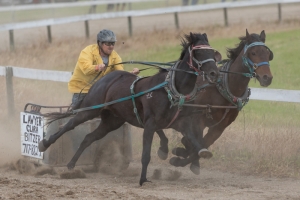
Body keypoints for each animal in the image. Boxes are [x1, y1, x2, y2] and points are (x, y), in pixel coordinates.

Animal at [37, 32, 221, 185]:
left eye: (212, 52)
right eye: (199, 53)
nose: (214, 73)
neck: (169, 88)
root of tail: (106, 78)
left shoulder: (179, 122)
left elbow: (195, 141)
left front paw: (201, 153)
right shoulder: (150, 125)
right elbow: (146, 155)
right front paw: (143, 179)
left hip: (112, 121)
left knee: (89, 137)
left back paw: (71, 164)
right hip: (90, 109)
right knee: (70, 125)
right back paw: (45, 144)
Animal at [157, 28, 274, 174]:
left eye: (268, 54)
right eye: (253, 53)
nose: (267, 78)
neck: (222, 89)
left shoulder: (220, 127)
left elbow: (203, 144)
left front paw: (181, 156)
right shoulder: (198, 119)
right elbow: (198, 142)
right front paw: (183, 157)